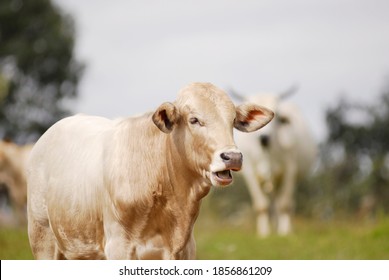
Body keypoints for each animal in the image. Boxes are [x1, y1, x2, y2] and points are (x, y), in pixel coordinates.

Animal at [26, 82, 272, 260]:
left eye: (233, 120)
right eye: (194, 120)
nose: (233, 157)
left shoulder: (185, 249)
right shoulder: (119, 246)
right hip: (42, 237)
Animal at [230, 87, 316, 236]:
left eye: (278, 118)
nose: (264, 138)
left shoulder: (290, 170)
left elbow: (284, 205)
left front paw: (284, 232)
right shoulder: (250, 173)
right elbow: (262, 205)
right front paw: (264, 233)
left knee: (286, 204)